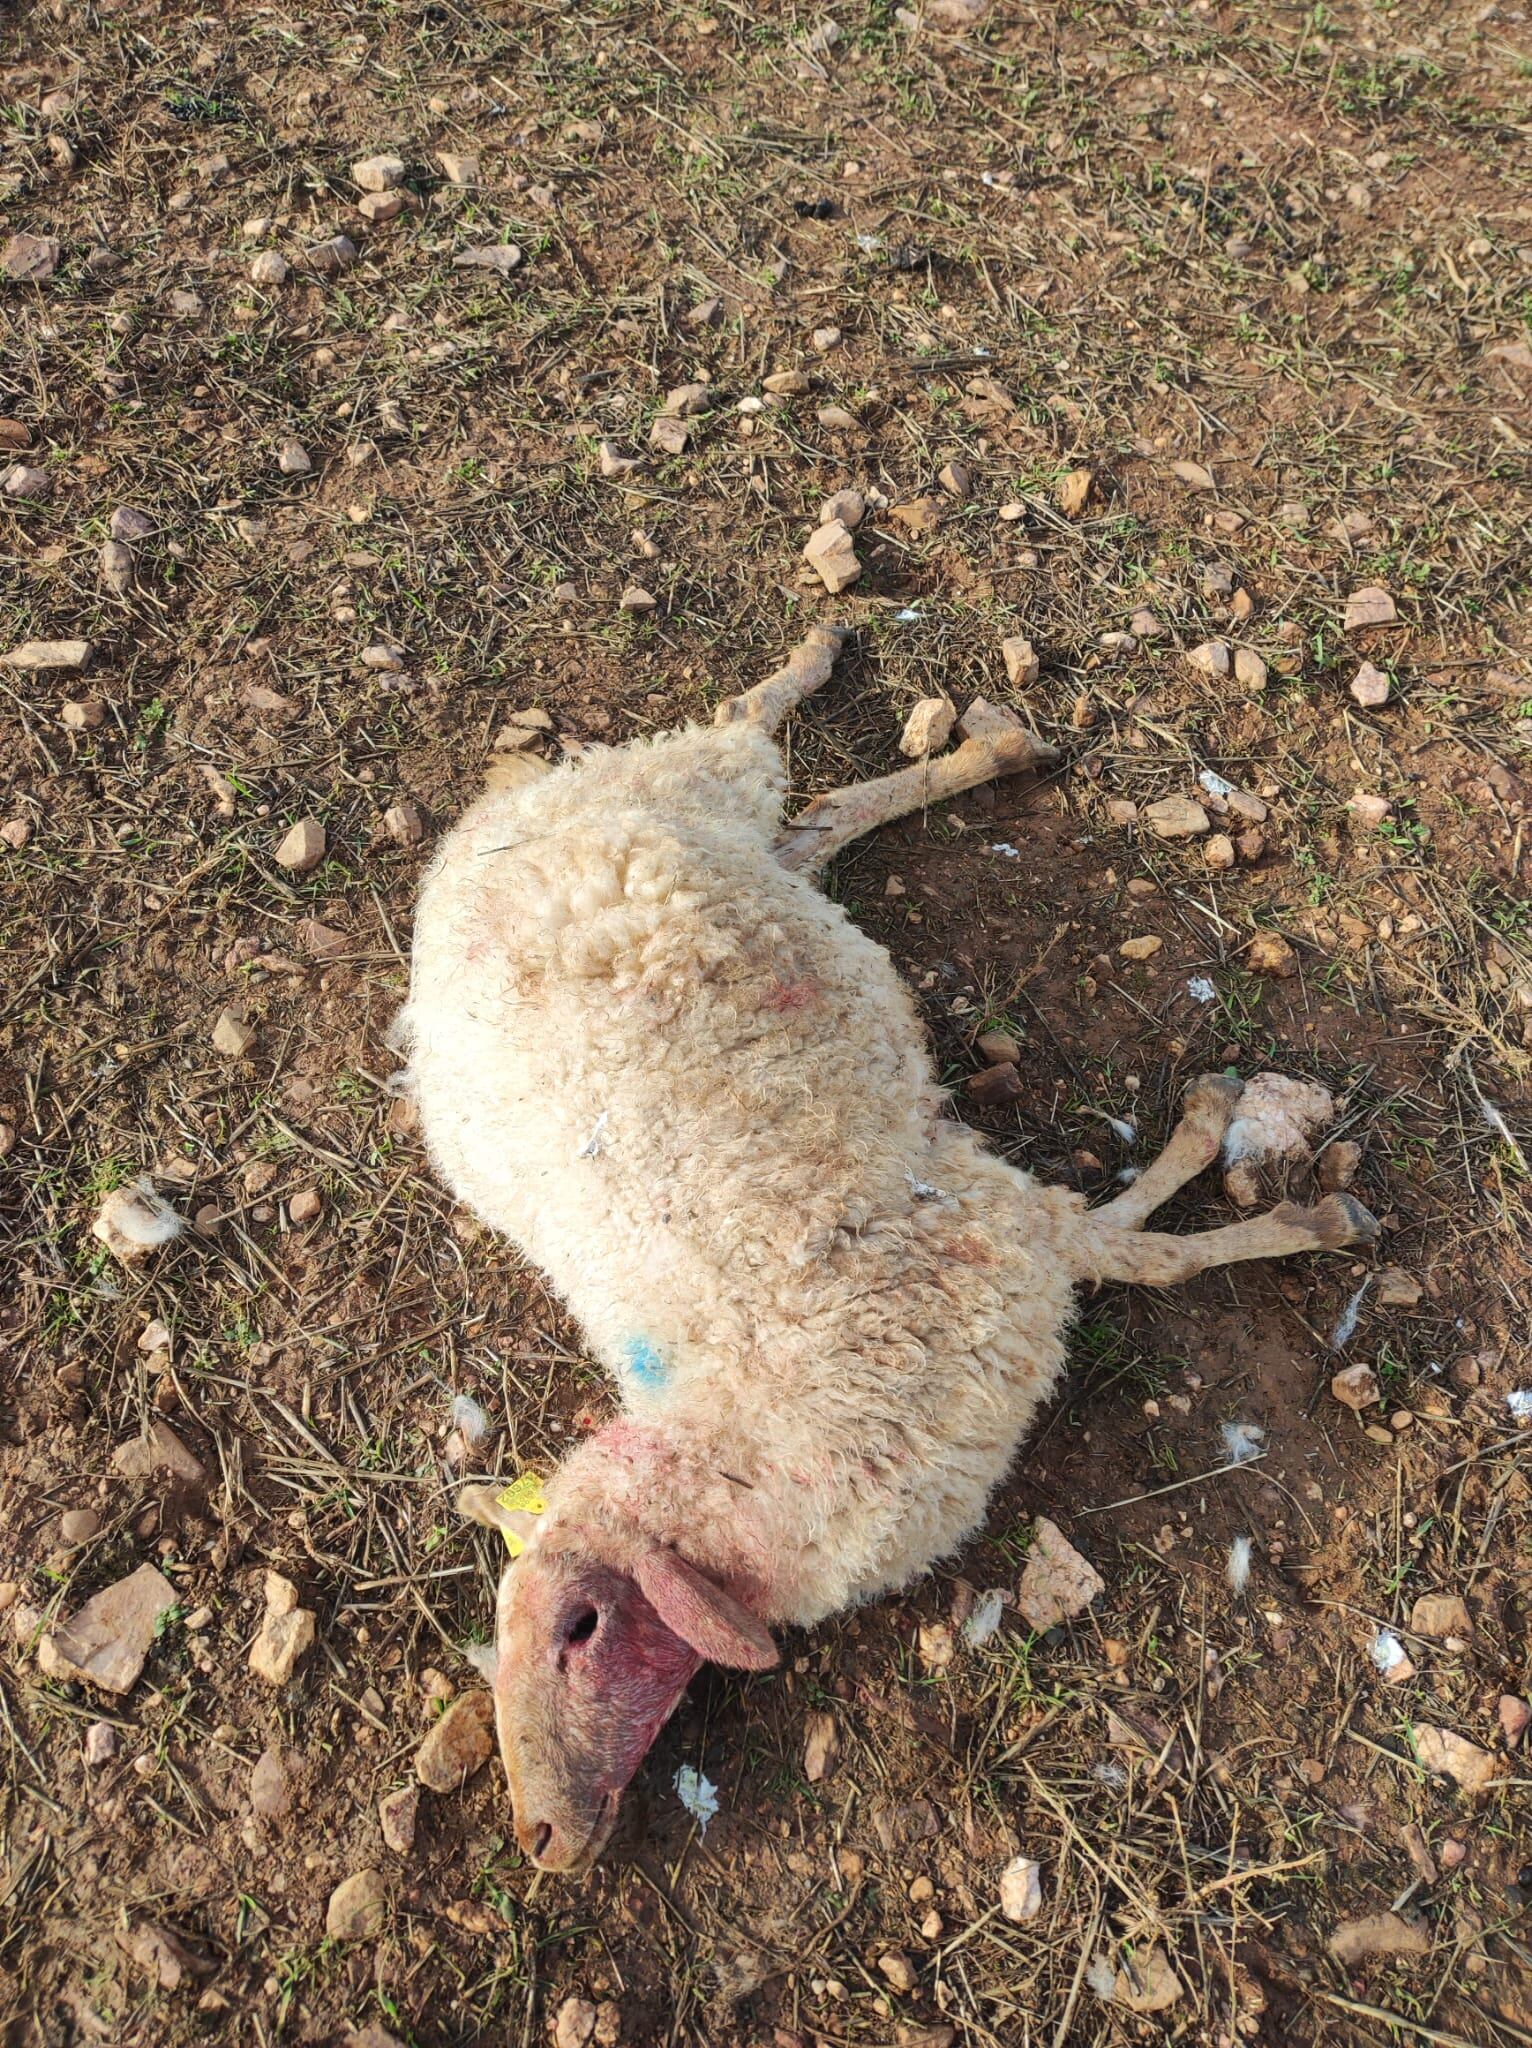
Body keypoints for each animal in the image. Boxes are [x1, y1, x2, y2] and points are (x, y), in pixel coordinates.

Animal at [399, 624, 1376, 1873]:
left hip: (683, 784)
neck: (751, 1423)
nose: (539, 1836)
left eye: (580, 1626)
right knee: (810, 824)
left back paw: (871, 686)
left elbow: (1151, 1252)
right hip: (717, 833)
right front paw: (1238, 1162)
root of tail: (471, 848)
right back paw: (970, 746)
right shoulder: (1002, 1252)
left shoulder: (991, 1234)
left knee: (747, 731)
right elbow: (1134, 1244)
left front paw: (1277, 1191)